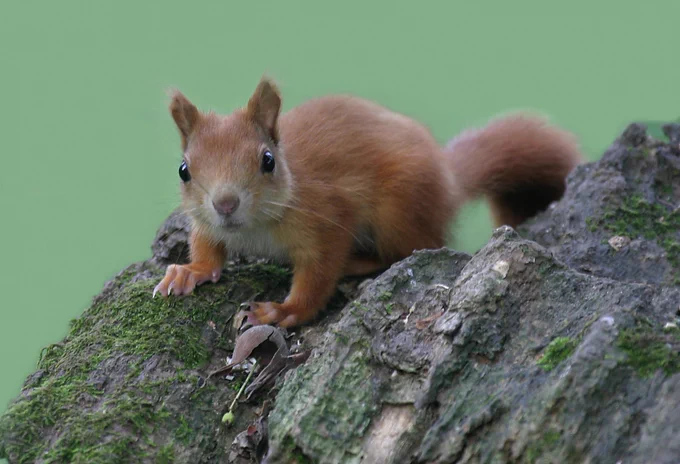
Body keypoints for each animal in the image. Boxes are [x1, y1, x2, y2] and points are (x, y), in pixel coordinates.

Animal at [153, 76, 584, 328]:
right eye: (184, 170)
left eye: (268, 161)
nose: (225, 204)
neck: (254, 227)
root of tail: (448, 180)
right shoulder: (204, 221)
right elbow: (207, 247)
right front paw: (189, 271)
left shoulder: (327, 217)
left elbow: (318, 273)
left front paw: (284, 311)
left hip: (399, 210)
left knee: (411, 249)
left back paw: (359, 262)